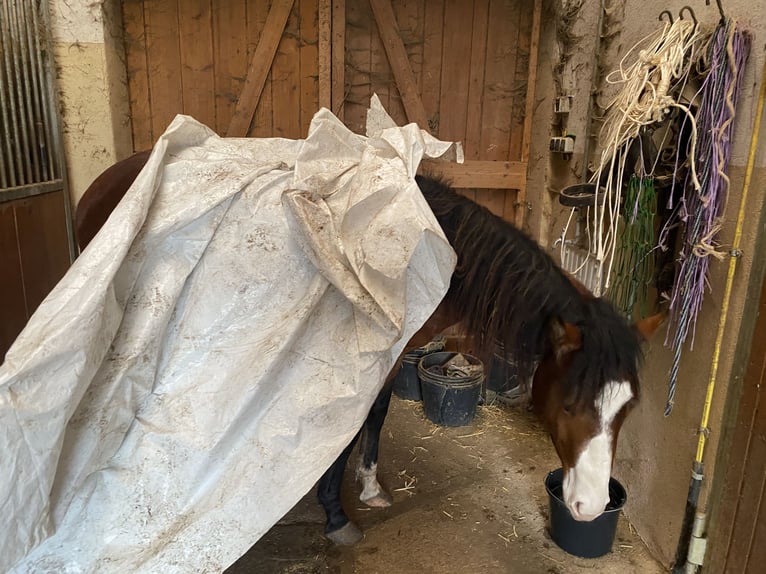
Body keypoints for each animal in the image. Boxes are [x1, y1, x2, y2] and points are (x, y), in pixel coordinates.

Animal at [74, 152, 661, 546]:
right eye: (572, 405)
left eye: (628, 409)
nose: (589, 506)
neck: (436, 256)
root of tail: (101, 183)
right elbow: (351, 424)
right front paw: (336, 517)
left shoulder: (398, 352)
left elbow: (376, 415)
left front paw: (370, 485)